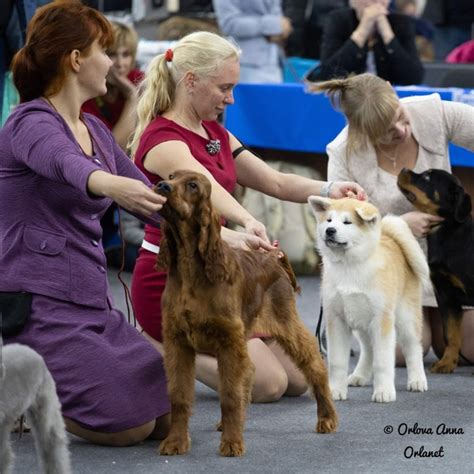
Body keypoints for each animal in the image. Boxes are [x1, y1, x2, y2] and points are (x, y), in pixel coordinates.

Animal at [154, 169, 336, 456]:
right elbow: (179, 396)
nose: (162, 186)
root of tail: (273, 257)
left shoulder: (229, 339)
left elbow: (229, 396)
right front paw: (176, 442)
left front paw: (232, 443)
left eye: (193, 185)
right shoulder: (177, 342)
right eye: (171, 176)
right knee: (250, 369)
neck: (191, 271)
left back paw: (327, 418)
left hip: (286, 324)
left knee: (315, 366)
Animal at [308, 196, 430, 404]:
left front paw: (384, 392)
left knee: (413, 348)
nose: (330, 230)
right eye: (329, 220)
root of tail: (393, 241)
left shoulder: (381, 320)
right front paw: (335, 391)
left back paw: (417, 380)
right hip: (361, 324)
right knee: (368, 349)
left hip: (405, 319)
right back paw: (359, 376)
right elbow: (337, 362)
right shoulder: (337, 320)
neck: (349, 266)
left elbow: (382, 362)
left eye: (347, 222)